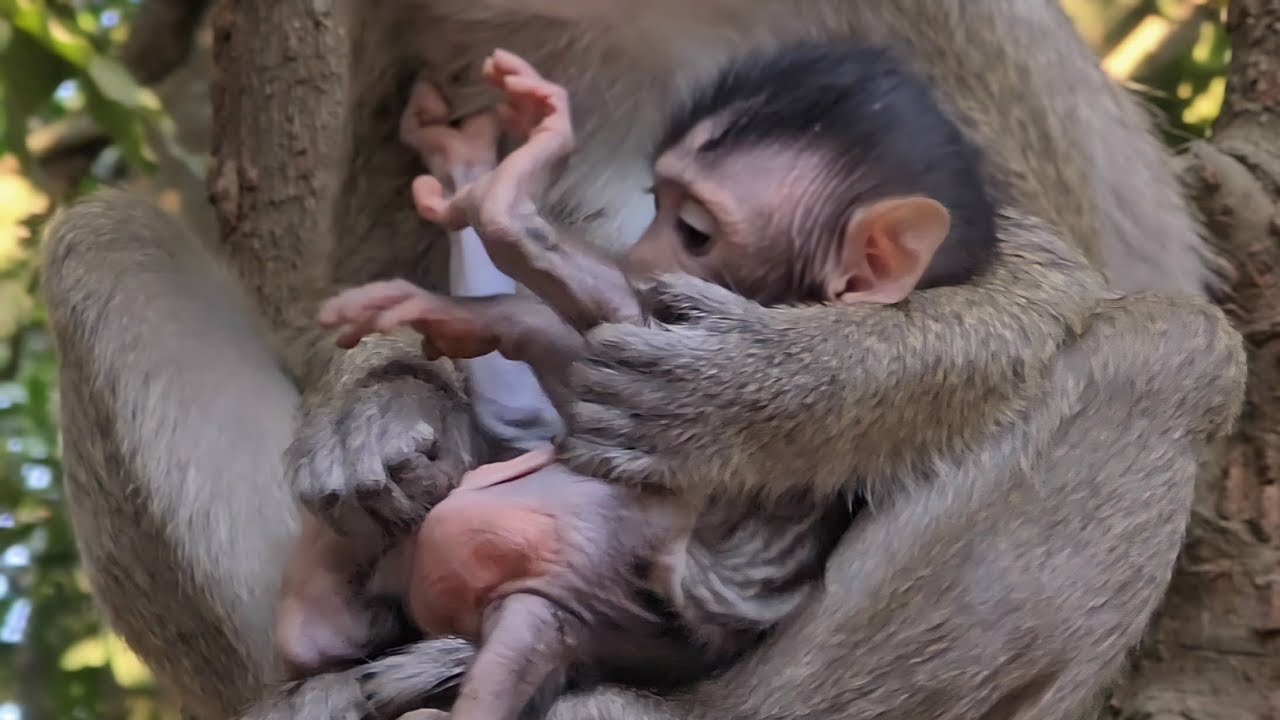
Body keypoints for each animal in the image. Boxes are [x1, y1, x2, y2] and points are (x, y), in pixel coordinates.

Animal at [37, 3, 1246, 720]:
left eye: (698, 229)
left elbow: (1057, 269)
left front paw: (746, 393)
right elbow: (361, 260)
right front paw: (380, 402)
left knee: (1169, 351)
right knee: (101, 241)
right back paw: (320, 685)